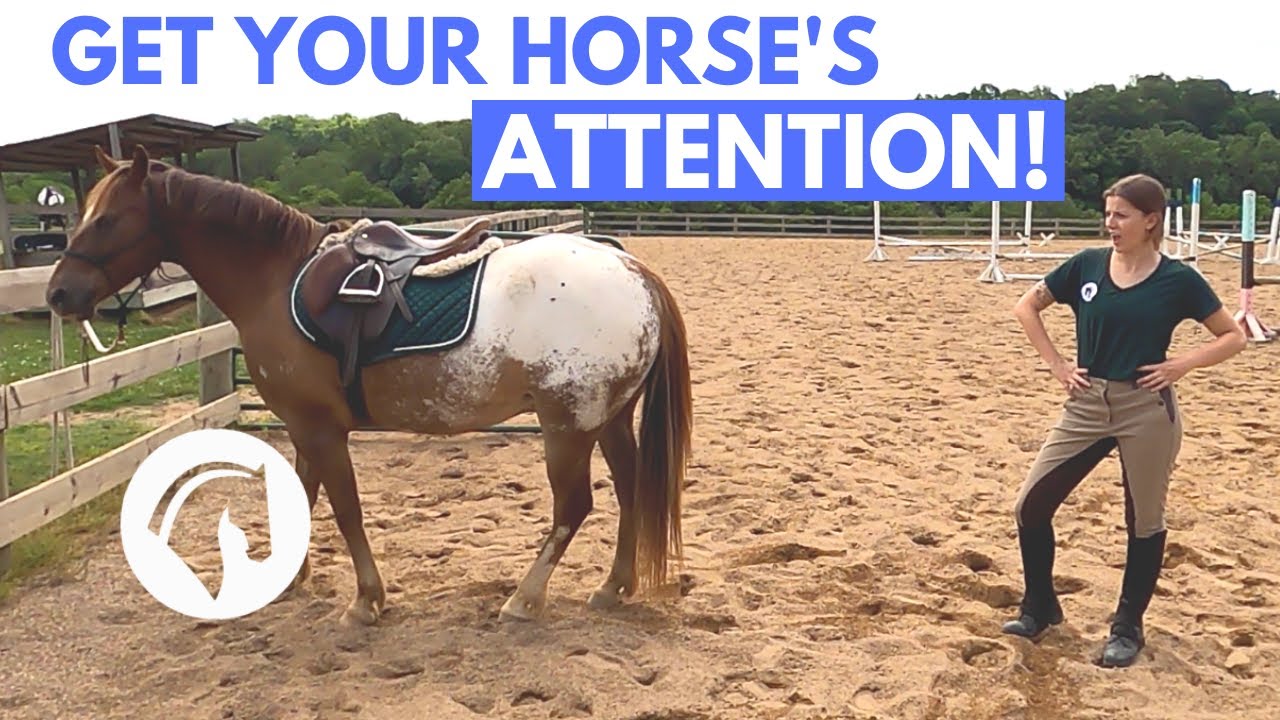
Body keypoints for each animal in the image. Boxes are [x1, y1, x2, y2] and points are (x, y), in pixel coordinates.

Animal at [45, 144, 694, 625]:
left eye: (107, 219)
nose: (58, 293)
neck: (276, 281)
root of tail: (635, 270)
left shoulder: (323, 430)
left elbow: (347, 510)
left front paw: (366, 600)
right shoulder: (301, 428)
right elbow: (302, 498)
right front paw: (289, 580)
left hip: (566, 427)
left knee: (574, 507)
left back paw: (524, 598)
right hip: (607, 419)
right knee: (631, 490)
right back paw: (614, 587)